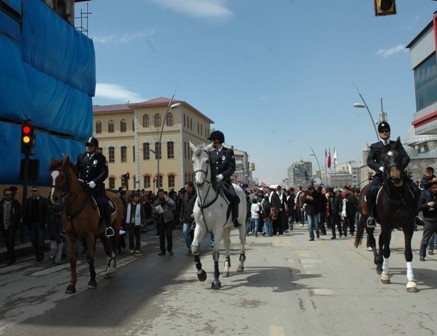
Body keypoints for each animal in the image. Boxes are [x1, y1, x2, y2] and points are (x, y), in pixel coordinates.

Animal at [48, 158, 123, 294]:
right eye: (51, 176)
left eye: (62, 176)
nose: (53, 198)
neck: (75, 206)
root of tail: (115, 195)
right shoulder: (69, 235)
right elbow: (72, 259)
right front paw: (72, 285)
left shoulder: (89, 235)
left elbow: (90, 258)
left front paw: (92, 281)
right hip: (102, 233)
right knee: (108, 249)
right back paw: (108, 270)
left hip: (114, 228)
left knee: (113, 248)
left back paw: (112, 270)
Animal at [189, 141, 247, 288]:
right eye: (193, 161)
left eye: (206, 161)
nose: (199, 183)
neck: (205, 199)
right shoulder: (200, 227)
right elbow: (194, 248)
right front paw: (201, 274)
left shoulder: (217, 228)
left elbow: (215, 253)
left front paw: (215, 280)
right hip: (225, 227)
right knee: (227, 244)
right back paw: (226, 269)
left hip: (241, 224)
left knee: (242, 241)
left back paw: (240, 265)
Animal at [352, 138, 418, 292]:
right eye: (383, 159)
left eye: (399, 156)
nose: (395, 178)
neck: (399, 196)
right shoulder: (387, 224)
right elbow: (387, 250)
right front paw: (385, 276)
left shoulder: (407, 225)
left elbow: (408, 252)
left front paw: (411, 281)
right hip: (368, 221)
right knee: (372, 240)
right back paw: (378, 263)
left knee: (381, 240)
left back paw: (381, 263)